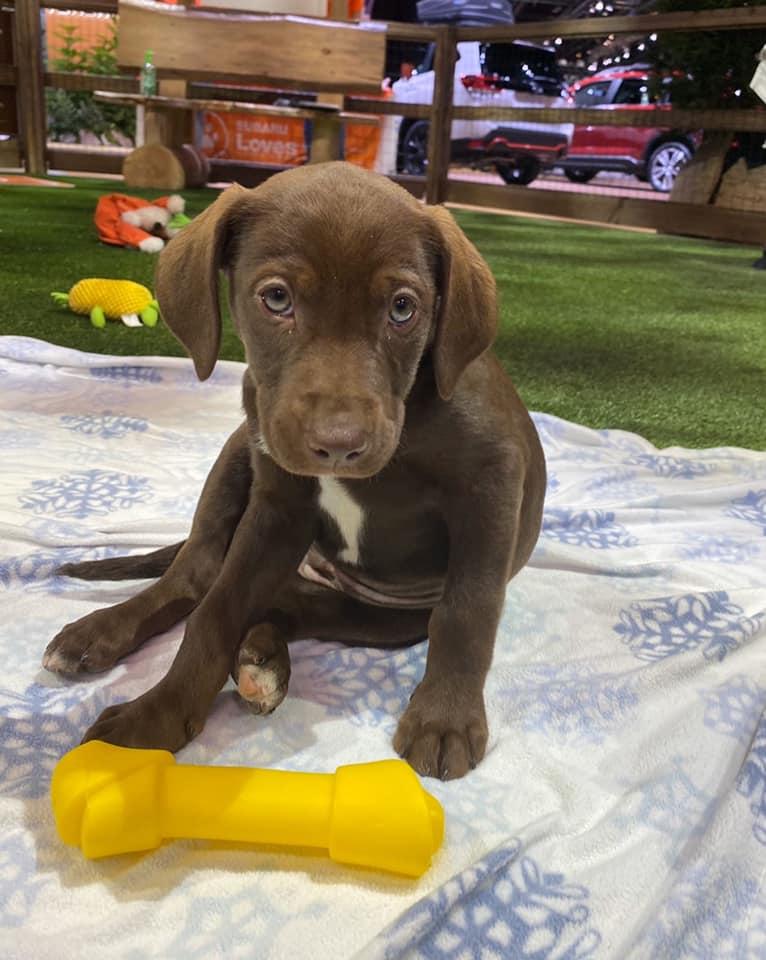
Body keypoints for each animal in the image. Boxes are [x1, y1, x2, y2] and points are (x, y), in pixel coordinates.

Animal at [43, 163, 544, 780]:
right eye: (277, 298)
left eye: (404, 308)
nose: (338, 445)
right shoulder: (276, 507)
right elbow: (214, 613)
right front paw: (156, 716)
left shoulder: (491, 488)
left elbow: (467, 612)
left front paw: (444, 719)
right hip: (236, 454)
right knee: (193, 577)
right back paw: (103, 631)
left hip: (378, 618)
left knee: (287, 607)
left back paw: (262, 661)